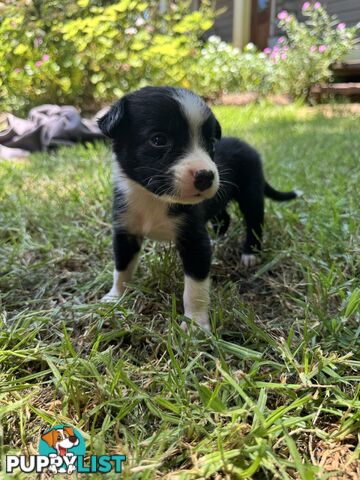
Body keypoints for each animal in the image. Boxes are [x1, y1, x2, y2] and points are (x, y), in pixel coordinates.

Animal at [98, 85, 298, 330]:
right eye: (158, 140)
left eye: (211, 143)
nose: (206, 176)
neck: (155, 199)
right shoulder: (126, 230)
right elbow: (122, 267)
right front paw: (114, 297)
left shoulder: (194, 240)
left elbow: (195, 288)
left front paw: (195, 324)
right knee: (223, 218)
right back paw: (219, 241)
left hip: (251, 194)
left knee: (254, 222)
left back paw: (250, 253)